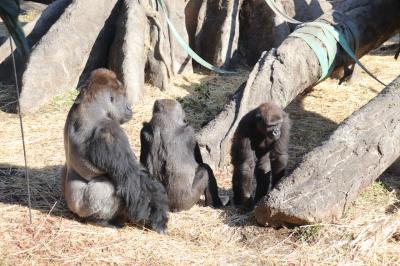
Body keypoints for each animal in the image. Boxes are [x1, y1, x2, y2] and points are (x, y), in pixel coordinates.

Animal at [62, 68, 169, 233]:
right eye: (124, 97)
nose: (129, 107)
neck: (89, 105)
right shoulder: (110, 133)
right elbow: (132, 179)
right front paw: (159, 216)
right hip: (83, 208)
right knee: (110, 186)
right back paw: (101, 221)